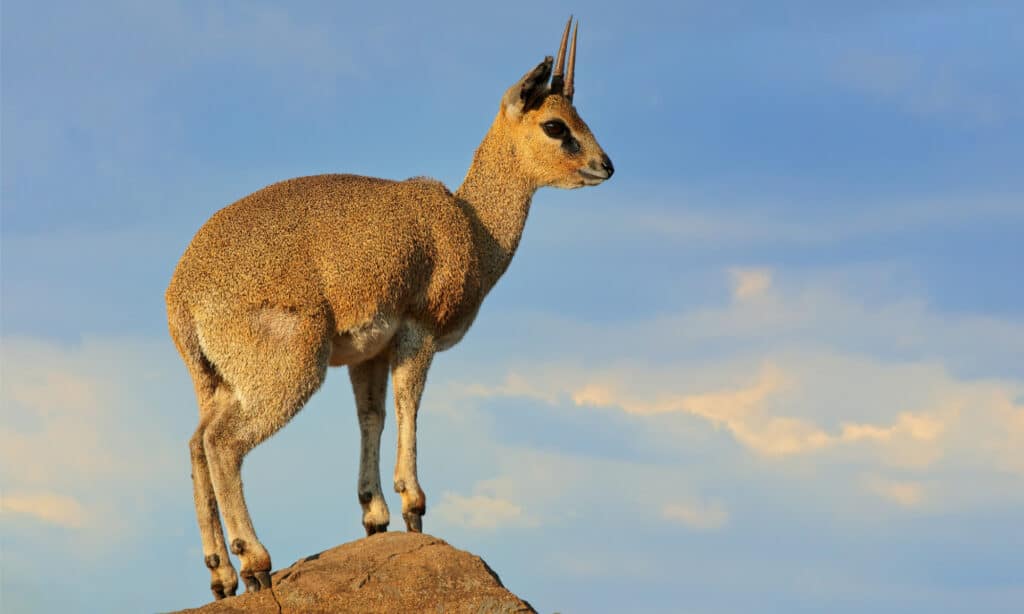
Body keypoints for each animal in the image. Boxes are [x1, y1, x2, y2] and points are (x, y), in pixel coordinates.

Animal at [167, 18, 610, 597]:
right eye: (556, 125)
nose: (605, 165)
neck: (472, 228)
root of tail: (181, 294)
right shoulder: (418, 334)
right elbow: (408, 404)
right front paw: (412, 505)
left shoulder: (367, 354)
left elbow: (371, 416)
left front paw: (373, 514)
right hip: (288, 371)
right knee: (222, 444)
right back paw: (256, 563)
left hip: (222, 382)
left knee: (196, 444)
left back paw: (221, 574)